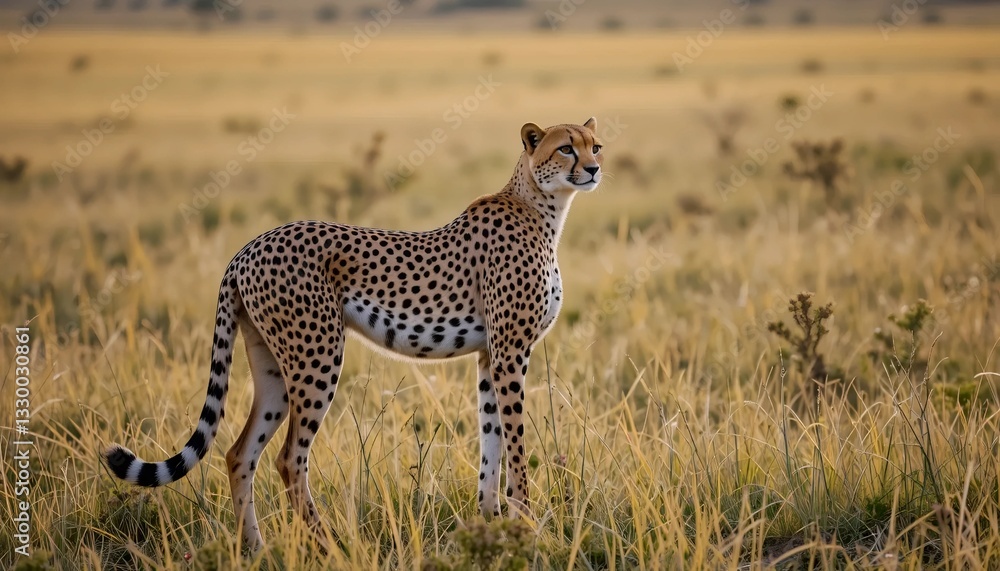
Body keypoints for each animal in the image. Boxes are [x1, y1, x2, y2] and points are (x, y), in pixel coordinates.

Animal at [103, 118, 604, 551]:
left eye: (594, 145)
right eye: (566, 147)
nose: (595, 168)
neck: (541, 206)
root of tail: (247, 248)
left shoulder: (488, 355)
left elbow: (491, 440)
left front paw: (490, 524)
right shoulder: (510, 351)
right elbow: (515, 443)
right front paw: (526, 524)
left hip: (273, 367)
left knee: (239, 453)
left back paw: (256, 550)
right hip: (318, 356)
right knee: (289, 457)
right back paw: (329, 545)